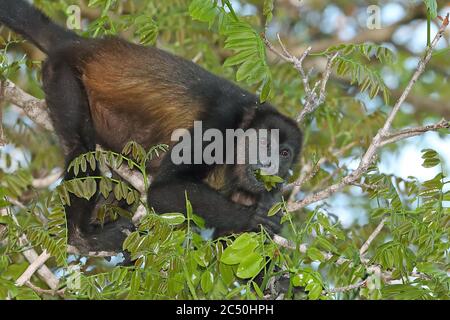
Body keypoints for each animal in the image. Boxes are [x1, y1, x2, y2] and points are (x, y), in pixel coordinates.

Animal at [0, 0, 302, 252]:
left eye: (285, 153)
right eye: (265, 143)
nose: (273, 164)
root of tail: (84, 46)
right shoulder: (220, 122)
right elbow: (164, 189)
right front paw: (255, 219)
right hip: (61, 73)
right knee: (80, 150)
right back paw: (81, 237)